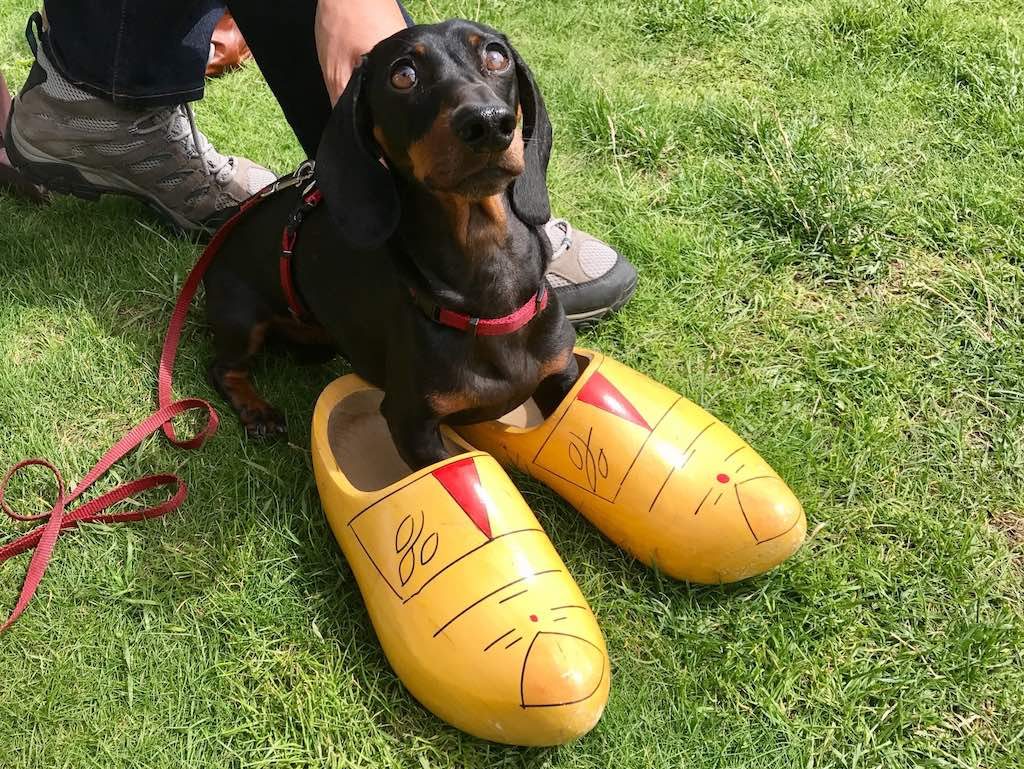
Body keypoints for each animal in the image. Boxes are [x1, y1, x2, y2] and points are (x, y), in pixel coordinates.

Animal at [203, 19, 581, 468]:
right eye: (403, 75)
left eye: (496, 55)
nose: (489, 123)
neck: (489, 262)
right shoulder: (412, 423)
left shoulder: (564, 375)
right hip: (241, 316)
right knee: (223, 368)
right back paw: (257, 410)